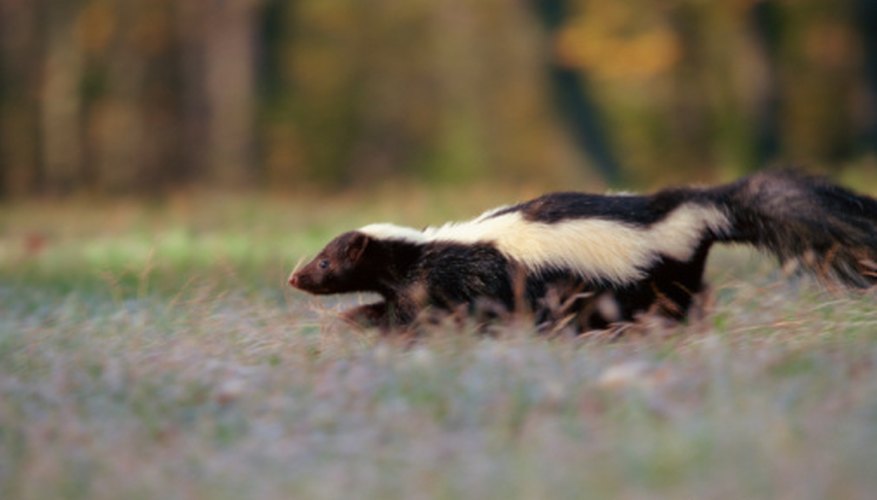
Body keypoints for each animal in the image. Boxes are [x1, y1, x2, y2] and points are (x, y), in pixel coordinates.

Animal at [288, 170, 876, 334]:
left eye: (325, 261)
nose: (294, 278)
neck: (423, 251)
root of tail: (689, 210)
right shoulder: (417, 287)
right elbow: (398, 311)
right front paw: (354, 319)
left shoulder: (467, 280)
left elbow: (442, 315)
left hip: (649, 279)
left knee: (674, 305)